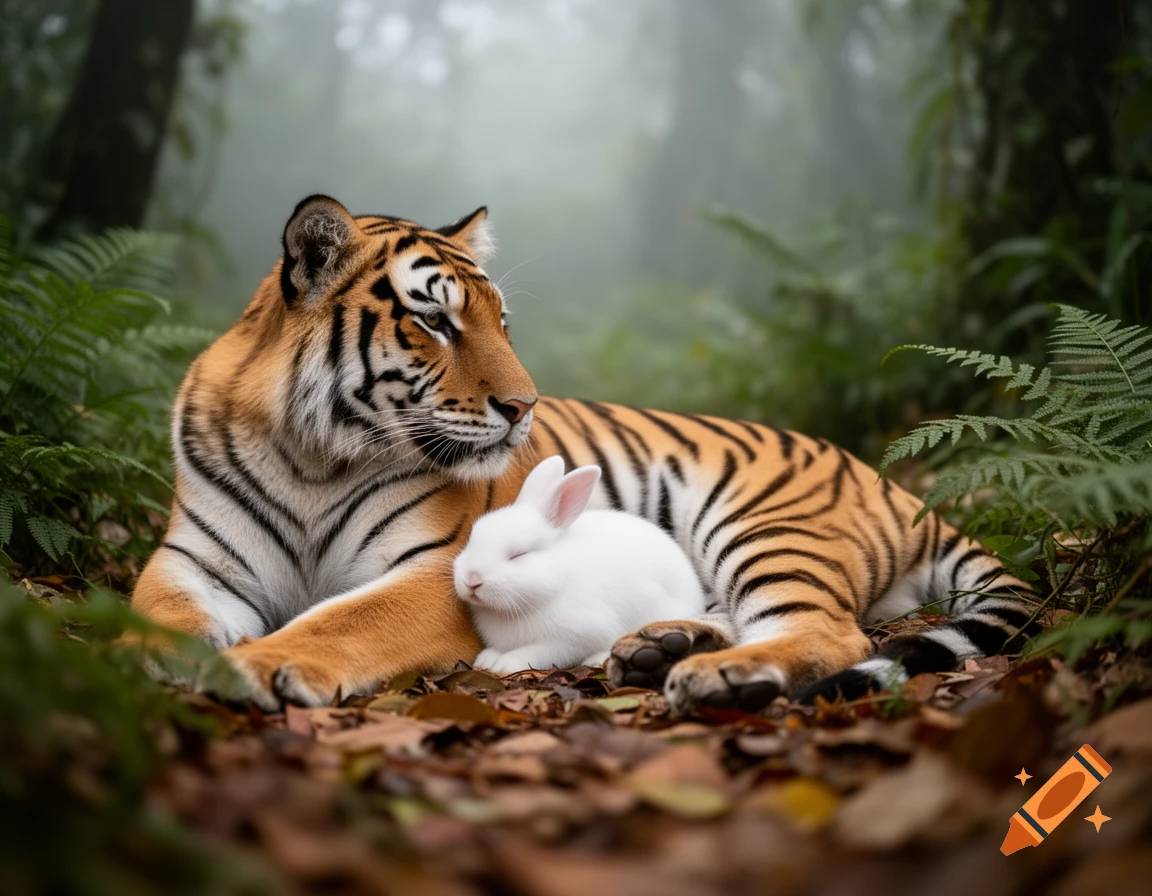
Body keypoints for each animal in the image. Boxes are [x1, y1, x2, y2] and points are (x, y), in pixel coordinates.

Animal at [453, 455, 707, 674]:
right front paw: (486, 660)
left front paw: (505, 664)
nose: (472, 580)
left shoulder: (572, 638)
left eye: (518, 554)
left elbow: (536, 653)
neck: (557, 580)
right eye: (473, 537)